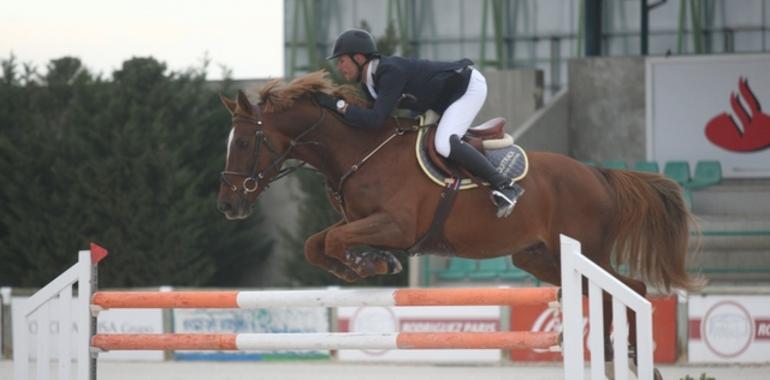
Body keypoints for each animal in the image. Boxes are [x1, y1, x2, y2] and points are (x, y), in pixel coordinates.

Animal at [216, 70, 704, 370]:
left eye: (243, 143)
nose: (228, 205)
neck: (361, 152)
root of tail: (598, 173)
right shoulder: (361, 222)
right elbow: (316, 245)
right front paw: (365, 264)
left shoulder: (396, 226)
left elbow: (333, 243)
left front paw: (367, 264)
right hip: (537, 257)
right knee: (601, 291)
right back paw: (614, 353)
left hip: (587, 249)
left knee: (630, 288)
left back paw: (625, 353)